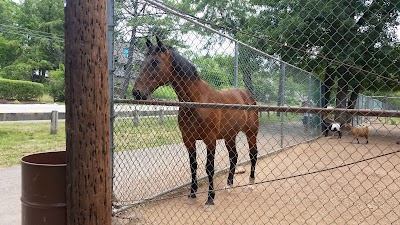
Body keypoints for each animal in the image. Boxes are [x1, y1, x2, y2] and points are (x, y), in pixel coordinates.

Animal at [132, 36, 260, 209]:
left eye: (155, 62)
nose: (137, 93)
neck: (197, 101)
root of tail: (247, 95)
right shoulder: (188, 140)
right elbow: (193, 166)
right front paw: (192, 194)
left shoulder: (210, 140)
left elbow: (209, 168)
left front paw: (210, 198)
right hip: (230, 136)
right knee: (233, 156)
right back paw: (229, 185)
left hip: (251, 133)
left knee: (253, 155)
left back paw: (250, 184)